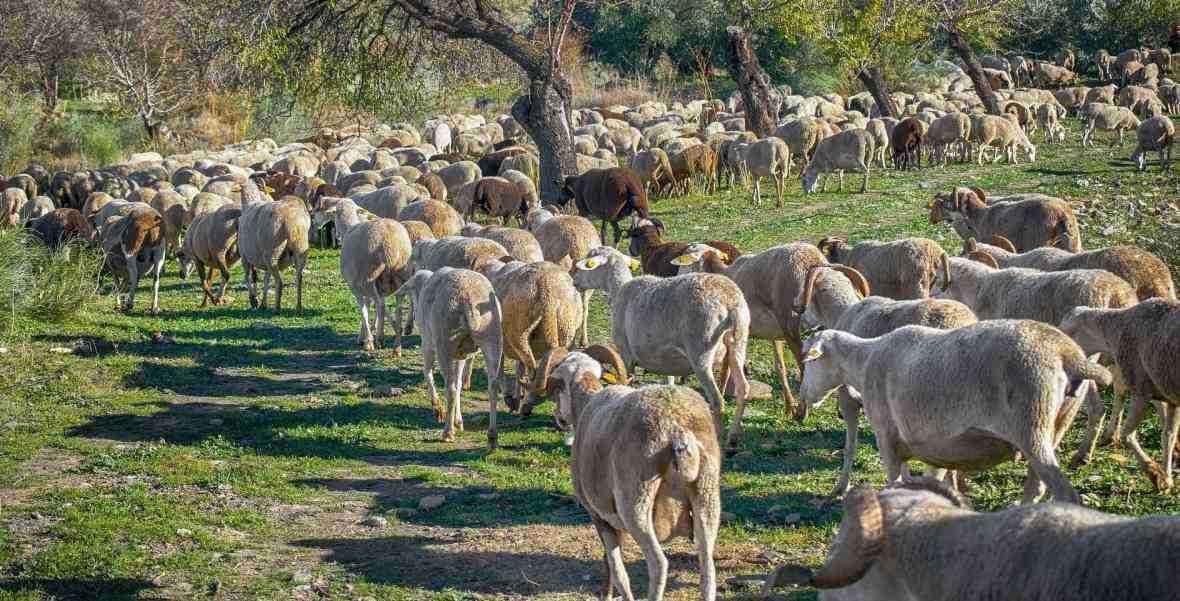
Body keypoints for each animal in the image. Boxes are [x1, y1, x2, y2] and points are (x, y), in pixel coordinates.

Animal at [395, 268, 503, 448]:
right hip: (492, 337)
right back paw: (492, 436)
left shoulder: (428, 343)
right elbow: (459, 383)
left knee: (450, 388)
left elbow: (427, 372)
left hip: (444, 342)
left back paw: (447, 432)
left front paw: (438, 409)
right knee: (493, 386)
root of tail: (468, 298)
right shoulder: (461, 355)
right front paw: (458, 420)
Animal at [531, 346, 720, 601]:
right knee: (707, 566)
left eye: (555, 386)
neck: (587, 402)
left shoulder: (598, 514)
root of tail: (676, 428)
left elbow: (615, 567)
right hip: (707, 493)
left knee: (658, 565)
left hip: (635, 502)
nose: (559, 418)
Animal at [572, 246, 751, 446]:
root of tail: (730, 303)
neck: (619, 289)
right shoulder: (666, 360)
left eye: (589, 263)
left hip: (701, 349)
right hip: (739, 341)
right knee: (743, 389)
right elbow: (669, 385)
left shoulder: (626, 354)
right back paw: (733, 437)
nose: (574, 280)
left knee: (717, 401)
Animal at [797, 320, 1111, 503]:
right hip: (1057, 423)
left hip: (1032, 425)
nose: (802, 399)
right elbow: (931, 479)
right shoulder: (930, 444)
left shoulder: (886, 435)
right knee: (1036, 490)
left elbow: (895, 481)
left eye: (809, 361)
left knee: (1066, 495)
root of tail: (1067, 353)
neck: (863, 362)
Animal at [1062, 300, 1180, 491]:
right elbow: (1168, 436)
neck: (1114, 332)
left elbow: (1126, 435)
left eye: (1068, 333)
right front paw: (1167, 479)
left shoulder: (1141, 390)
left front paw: (1154, 473)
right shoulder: (1169, 395)